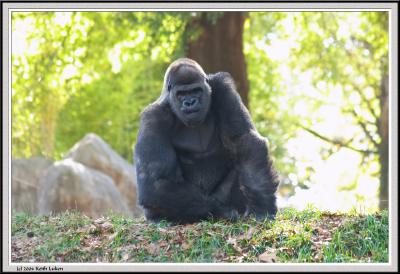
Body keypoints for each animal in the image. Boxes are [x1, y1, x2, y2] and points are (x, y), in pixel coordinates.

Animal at [134, 57, 278, 223]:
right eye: (181, 94)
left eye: (196, 90)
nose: (190, 102)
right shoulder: (153, 117)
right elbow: (154, 182)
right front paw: (221, 211)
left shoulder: (222, 88)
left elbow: (245, 140)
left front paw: (262, 205)